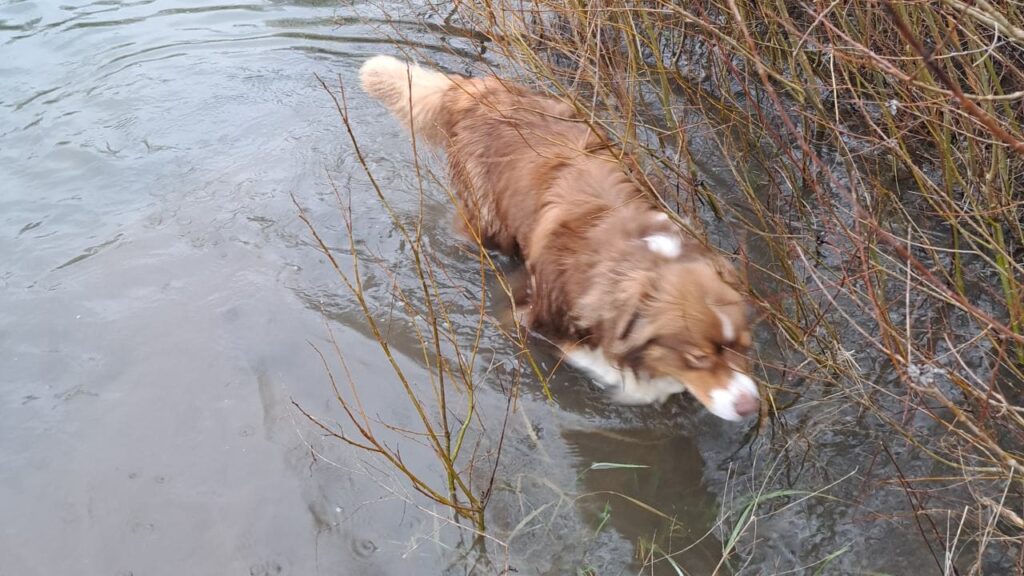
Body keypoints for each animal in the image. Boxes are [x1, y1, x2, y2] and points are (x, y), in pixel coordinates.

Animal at [360, 56, 761, 420]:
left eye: (745, 347)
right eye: (698, 358)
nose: (751, 406)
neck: (641, 258)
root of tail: (480, 89)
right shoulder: (526, 316)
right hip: (488, 223)